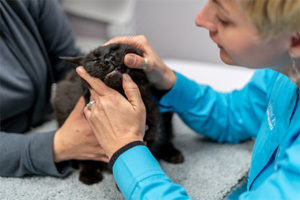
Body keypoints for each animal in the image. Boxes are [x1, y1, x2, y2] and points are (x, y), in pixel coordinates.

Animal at [54, 43, 184, 184]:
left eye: (115, 49)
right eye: (94, 59)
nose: (108, 59)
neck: (122, 96)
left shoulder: (152, 125)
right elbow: (83, 156)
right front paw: (89, 173)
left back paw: (173, 153)